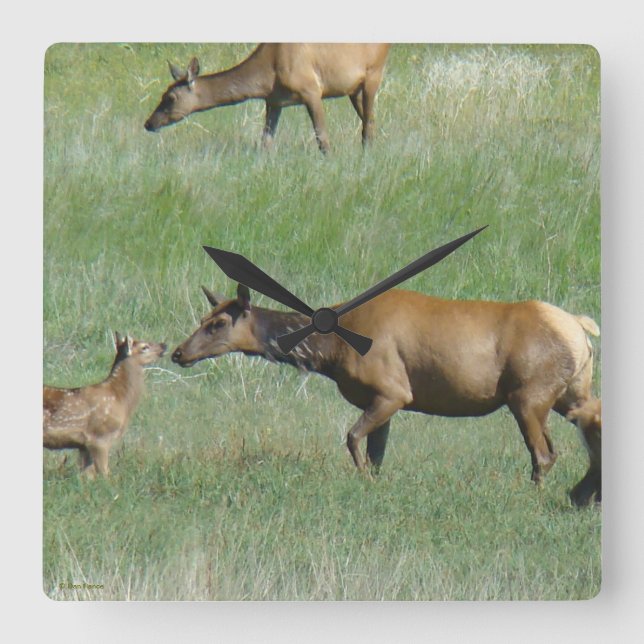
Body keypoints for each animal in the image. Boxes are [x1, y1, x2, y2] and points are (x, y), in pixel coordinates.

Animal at [43, 334, 167, 478]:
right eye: (144, 347)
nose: (164, 345)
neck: (120, 399)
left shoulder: (83, 446)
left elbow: (87, 476)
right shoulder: (99, 437)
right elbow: (105, 475)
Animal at [144, 44, 390, 153]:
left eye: (171, 97)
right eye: (163, 94)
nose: (148, 123)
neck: (267, 78)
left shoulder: (311, 90)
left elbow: (323, 139)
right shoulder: (274, 101)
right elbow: (265, 142)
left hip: (374, 73)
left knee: (368, 125)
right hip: (353, 89)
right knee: (370, 122)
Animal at [172, 284, 601, 506]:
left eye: (218, 323)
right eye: (202, 318)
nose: (178, 352)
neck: (330, 351)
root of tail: (579, 328)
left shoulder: (393, 391)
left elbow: (353, 438)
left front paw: (363, 482)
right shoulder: (381, 400)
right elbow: (377, 453)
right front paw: (376, 482)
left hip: (528, 394)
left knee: (543, 453)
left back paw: (536, 495)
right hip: (568, 393)